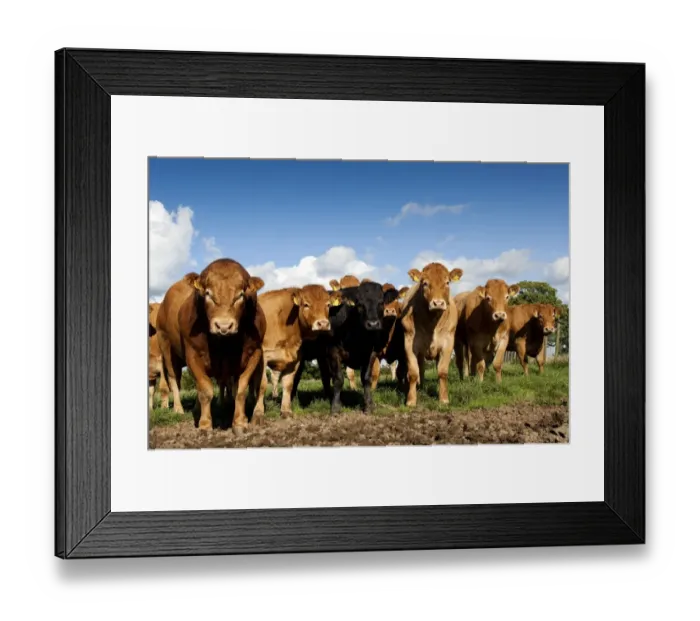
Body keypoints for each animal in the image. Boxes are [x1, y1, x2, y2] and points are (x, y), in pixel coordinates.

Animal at [156, 259, 266, 434]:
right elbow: (205, 390)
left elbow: (241, 390)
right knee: (174, 378)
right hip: (165, 344)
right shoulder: (193, 354)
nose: (224, 325)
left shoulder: (253, 352)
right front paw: (205, 424)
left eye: (240, 295)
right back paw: (179, 409)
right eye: (208, 293)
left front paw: (240, 423)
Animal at [253, 285, 342, 419]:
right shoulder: (263, 357)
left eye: (328, 305)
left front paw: (286, 411)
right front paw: (258, 412)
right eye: (306, 304)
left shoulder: (295, 360)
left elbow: (288, 385)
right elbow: (262, 384)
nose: (323, 324)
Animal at [399, 263, 463, 406]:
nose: (438, 303)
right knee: (421, 368)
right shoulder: (409, 343)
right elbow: (413, 373)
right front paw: (411, 400)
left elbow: (442, 372)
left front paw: (443, 399)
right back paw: (420, 387)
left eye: (447, 282)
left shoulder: (448, 343)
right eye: (425, 283)